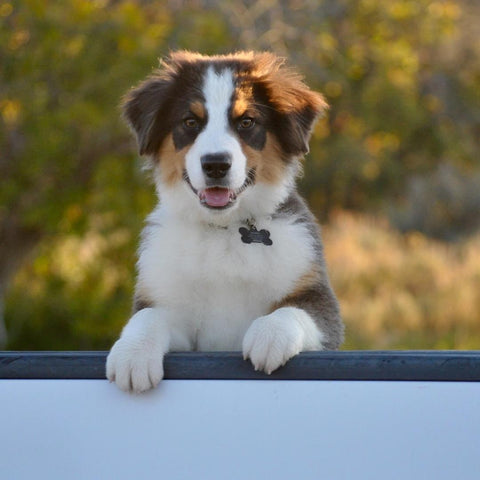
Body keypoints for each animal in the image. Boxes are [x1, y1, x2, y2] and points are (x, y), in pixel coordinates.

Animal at [107, 50, 344, 392]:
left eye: (246, 122)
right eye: (190, 122)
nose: (216, 164)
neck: (224, 230)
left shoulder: (320, 301)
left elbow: (292, 310)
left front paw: (269, 335)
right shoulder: (171, 306)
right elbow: (147, 317)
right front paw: (133, 353)